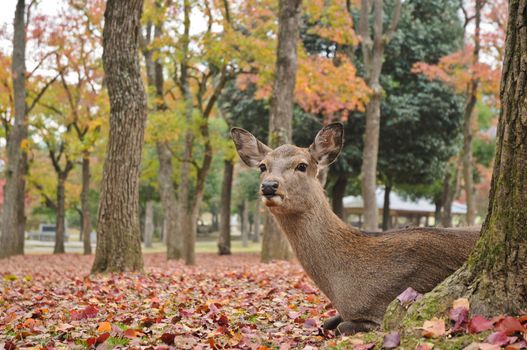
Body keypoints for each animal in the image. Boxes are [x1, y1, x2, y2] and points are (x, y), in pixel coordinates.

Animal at [230, 122, 478, 334]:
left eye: (302, 165)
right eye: (262, 166)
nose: (269, 185)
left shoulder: (386, 305)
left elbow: (342, 326)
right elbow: (328, 321)